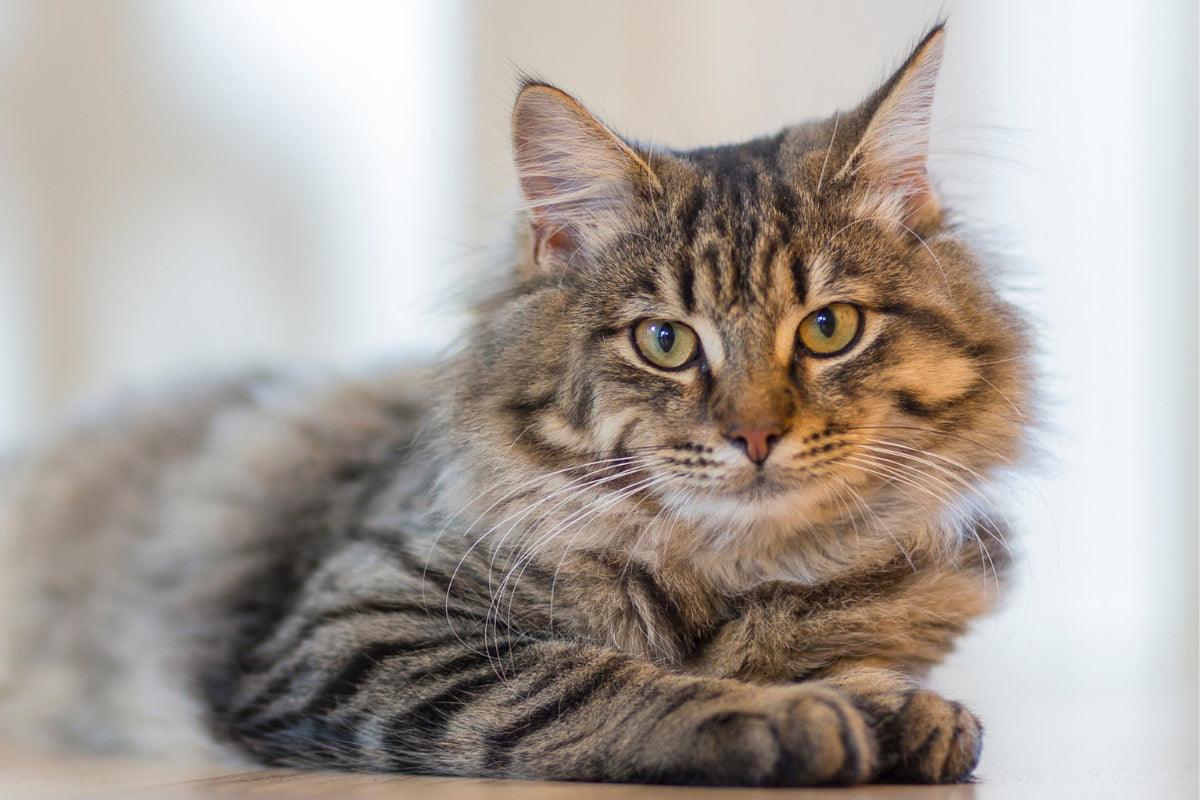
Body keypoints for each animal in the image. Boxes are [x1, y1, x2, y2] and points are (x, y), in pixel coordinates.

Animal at [0, 26, 1032, 786]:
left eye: (828, 329)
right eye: (665, 342)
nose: (754, 434)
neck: (733, 575)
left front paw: (897, 704)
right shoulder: (359, 624)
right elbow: (592, 678)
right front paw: (783, 713)